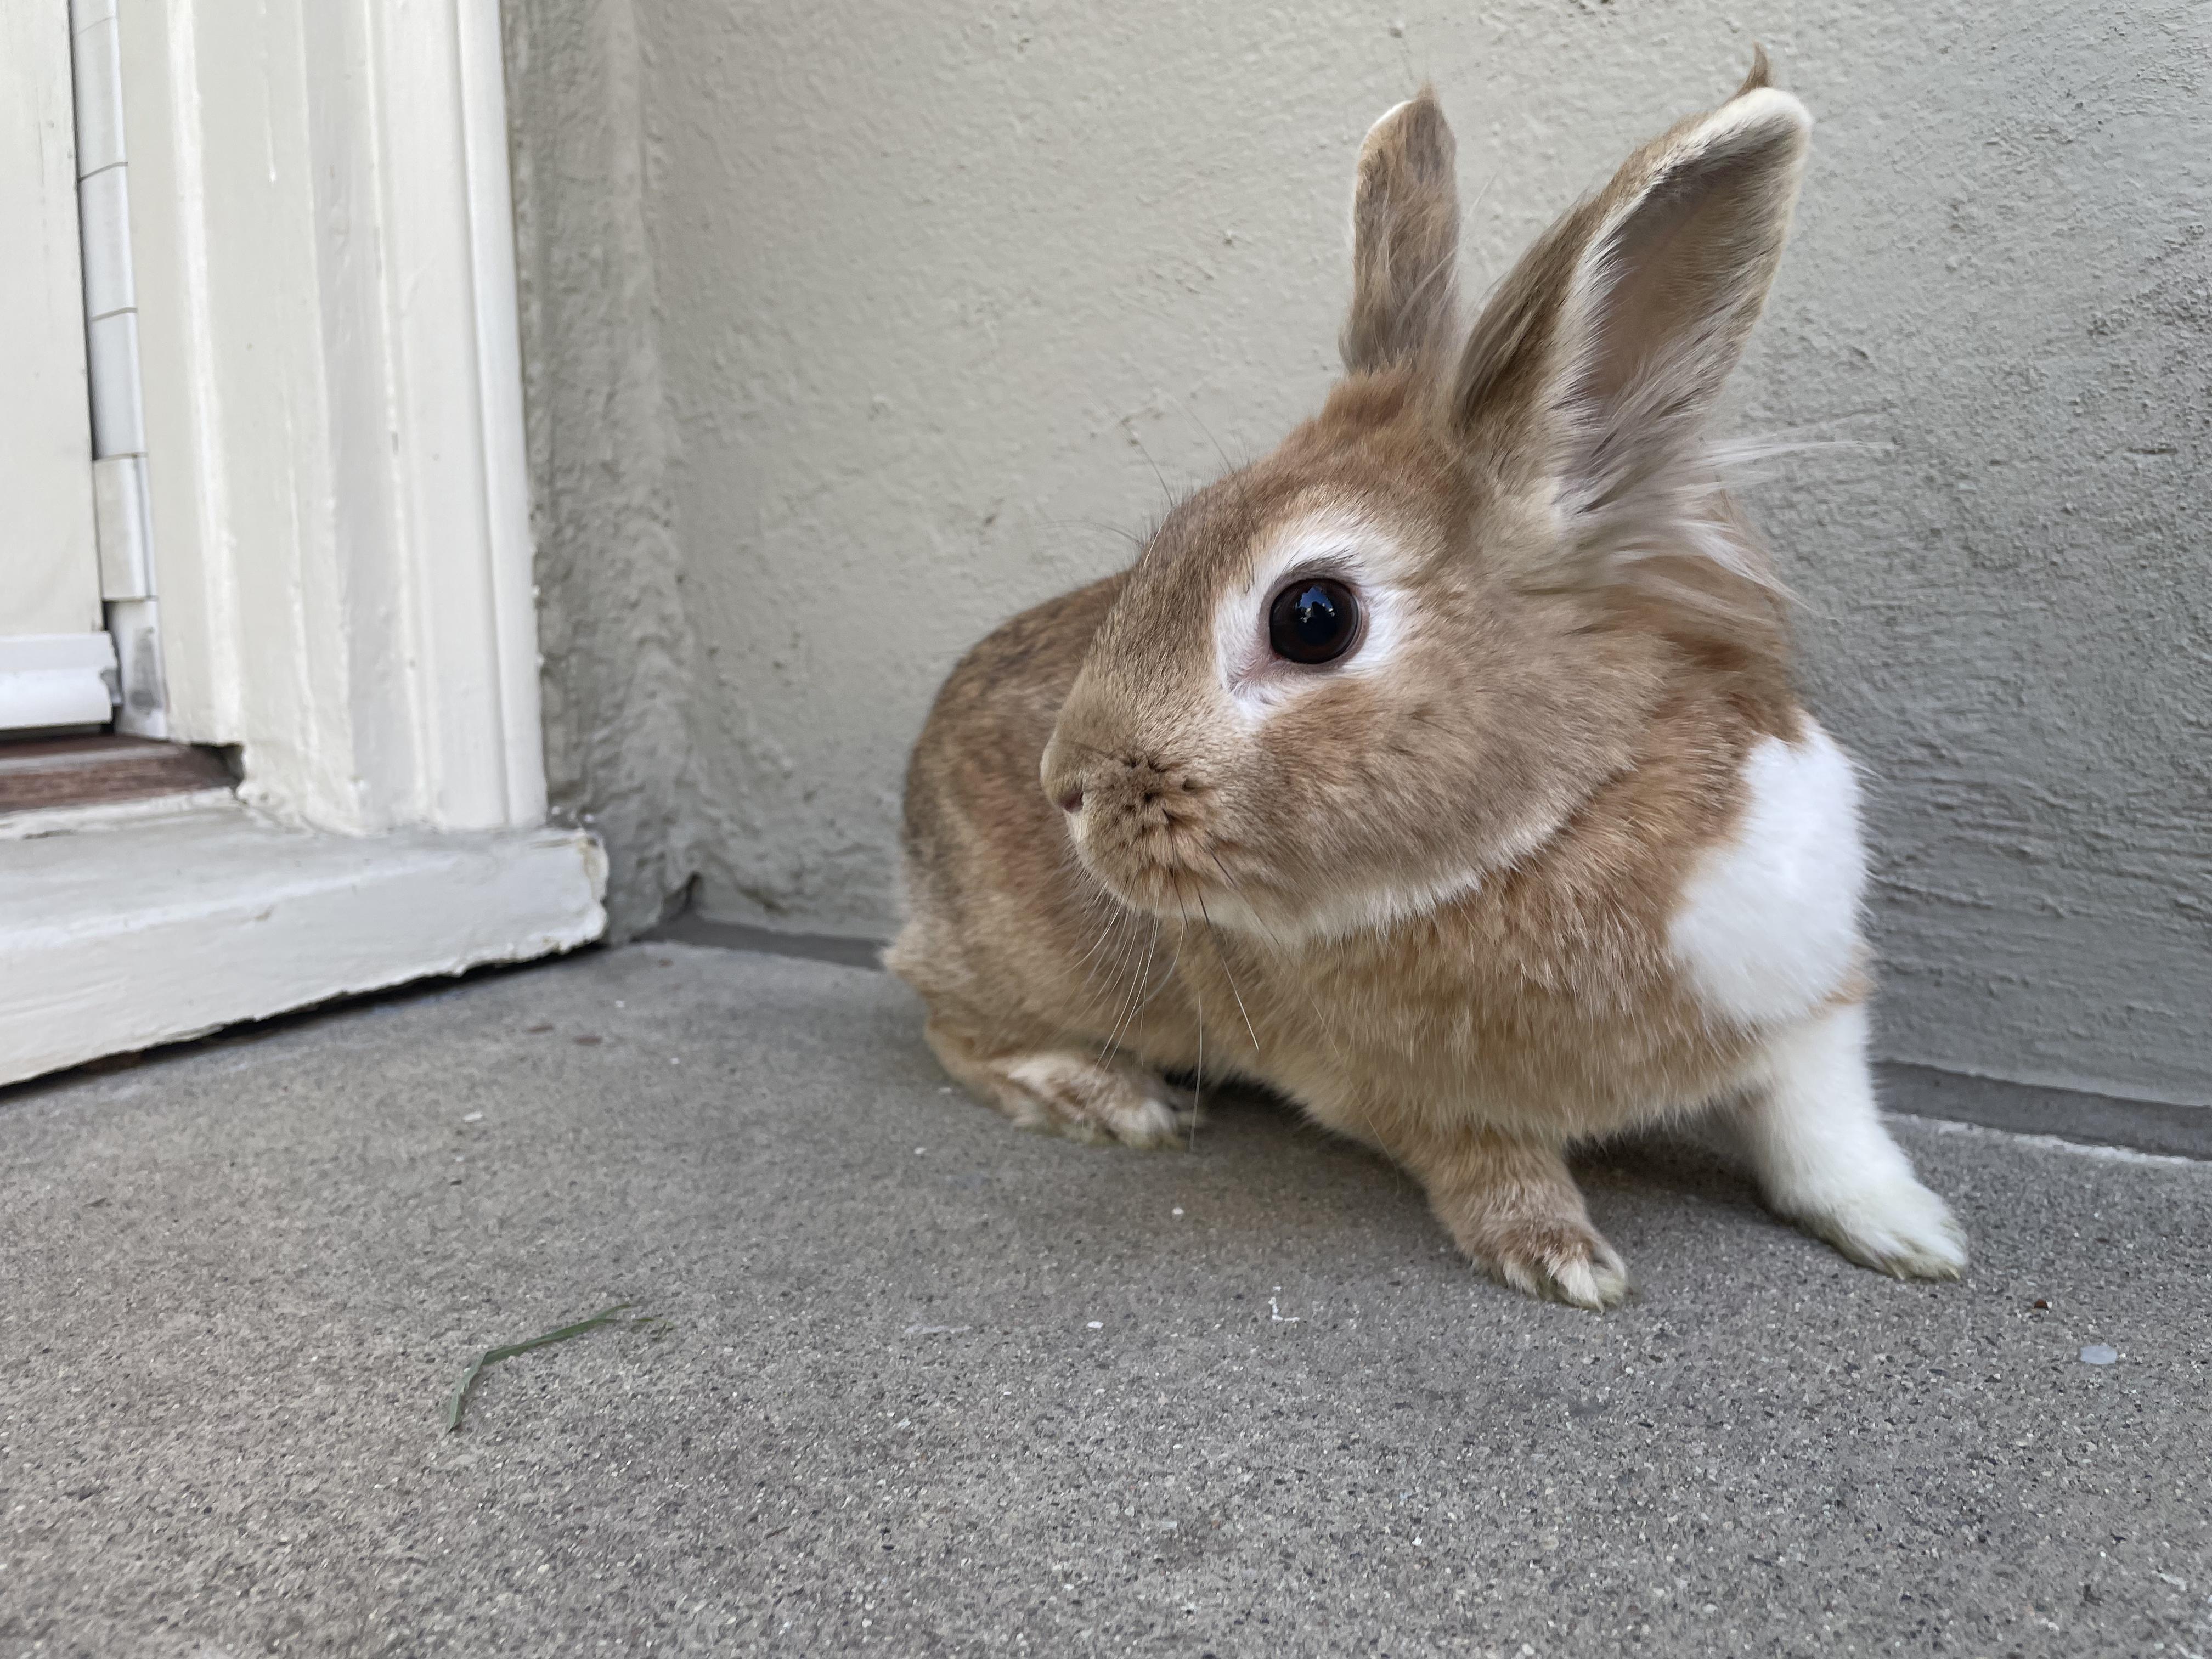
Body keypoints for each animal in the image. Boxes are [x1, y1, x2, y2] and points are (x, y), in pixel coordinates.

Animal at [886, 52, 1967, 1309]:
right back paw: (1105, 1099)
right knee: (942, 1016)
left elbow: (1823, 1131)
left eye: (1312, 618)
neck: (1550, 831)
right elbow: (1491, 1162)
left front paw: (1915, 1236)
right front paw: (1561, 1259)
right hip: (1019, 966)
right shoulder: (1407, 1097)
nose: (1066, 785)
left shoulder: (1811, 1003)